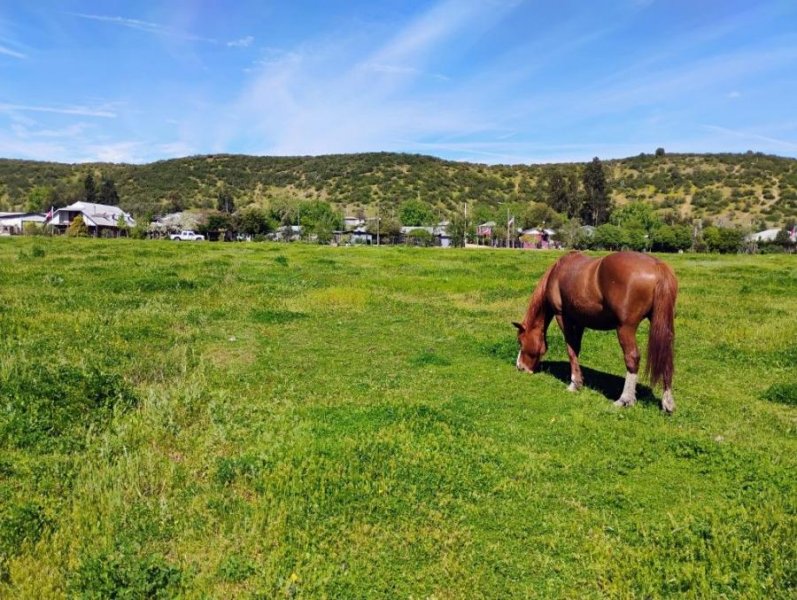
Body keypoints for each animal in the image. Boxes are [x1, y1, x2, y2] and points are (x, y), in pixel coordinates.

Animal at [516, 250, 676, 412]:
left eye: (520, 341)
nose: (520, 367)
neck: (557, 271)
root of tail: (658, 267)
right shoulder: (580, 320)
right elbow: (576, 348)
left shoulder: (562, 316)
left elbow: (570, 349)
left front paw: (574, 384)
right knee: (666, 357)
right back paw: (667, 402)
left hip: (625, 328)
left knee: (632, 357)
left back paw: (625, 399)